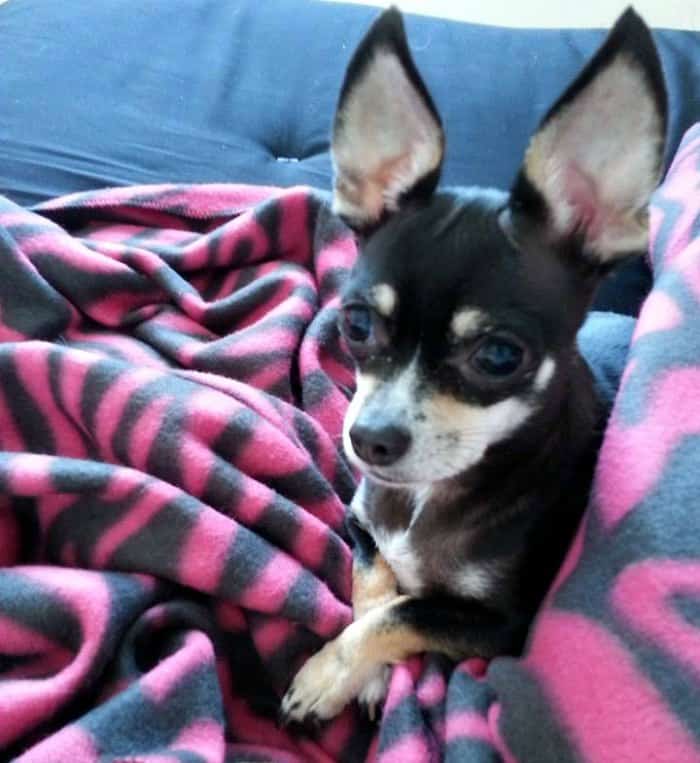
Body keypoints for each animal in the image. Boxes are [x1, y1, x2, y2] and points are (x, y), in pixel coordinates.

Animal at [280, 4, 668, 724]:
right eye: (356, 325)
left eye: (498, 355)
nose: (369, 439)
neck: (428, 498)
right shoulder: (361, 523)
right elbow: (374, 583)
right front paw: (366, 677)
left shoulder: (501, 626)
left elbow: (404, 611)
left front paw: (329, 672)